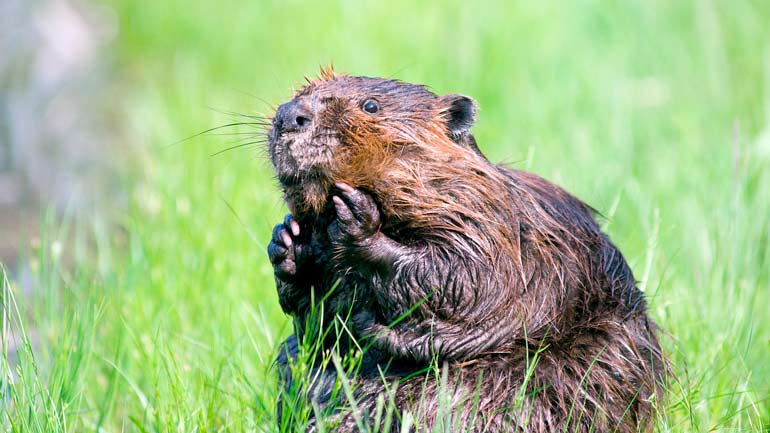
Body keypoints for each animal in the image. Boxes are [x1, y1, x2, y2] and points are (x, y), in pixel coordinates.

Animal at [264, 66, 660, 428]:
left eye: (371, 105)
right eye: (302, 92)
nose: (289, 114)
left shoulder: (493, 224)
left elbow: (466, 278)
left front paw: (357, 219)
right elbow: (320, 326)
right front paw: (289, 241)